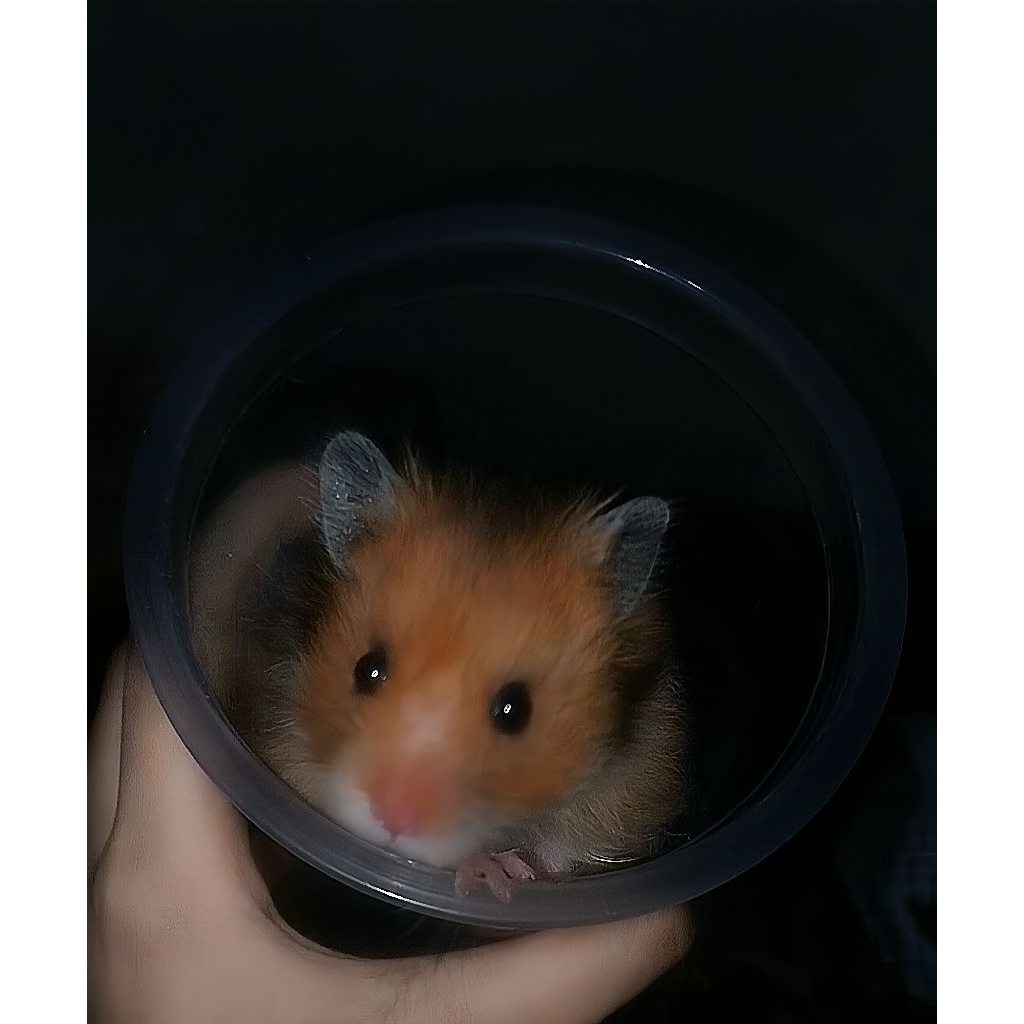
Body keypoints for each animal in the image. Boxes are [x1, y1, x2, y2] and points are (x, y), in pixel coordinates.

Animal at [240, 431, 688, 903]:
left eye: (515, 710)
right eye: (366, 669)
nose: (393, 819)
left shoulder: (633, 784)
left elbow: (568, 848)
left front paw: (522, 874)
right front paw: (493, 871)